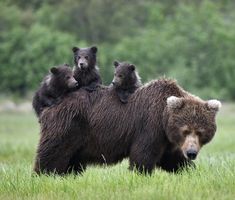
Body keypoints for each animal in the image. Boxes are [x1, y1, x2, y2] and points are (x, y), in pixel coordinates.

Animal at [34, 79, 221, 174]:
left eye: (200, 132)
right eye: (186, 130)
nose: (191, 153)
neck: (163, 119)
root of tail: (49, 102)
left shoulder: (167, 141)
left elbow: (173, 159)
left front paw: (190, 171)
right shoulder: (149, 127)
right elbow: (143, 156)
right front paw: (140, 174)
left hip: (79, 141)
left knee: (73, 161)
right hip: (69, 125)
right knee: (53, 153)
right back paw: (43, 175)